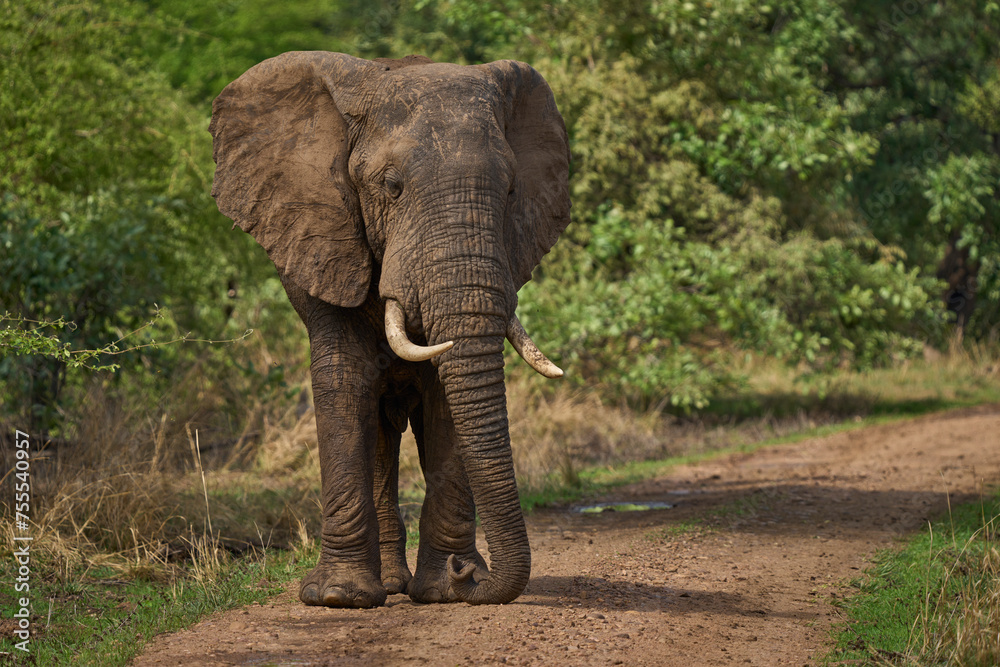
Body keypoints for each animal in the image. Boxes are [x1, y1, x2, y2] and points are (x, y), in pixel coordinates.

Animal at [209, 52, 570, 607]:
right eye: (391, 186)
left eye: (511, 190)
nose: (471, 576)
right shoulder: (325, 239)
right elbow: (342, 383)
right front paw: (338, 598)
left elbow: (446, 397)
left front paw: (444, 589)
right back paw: (384, 587)